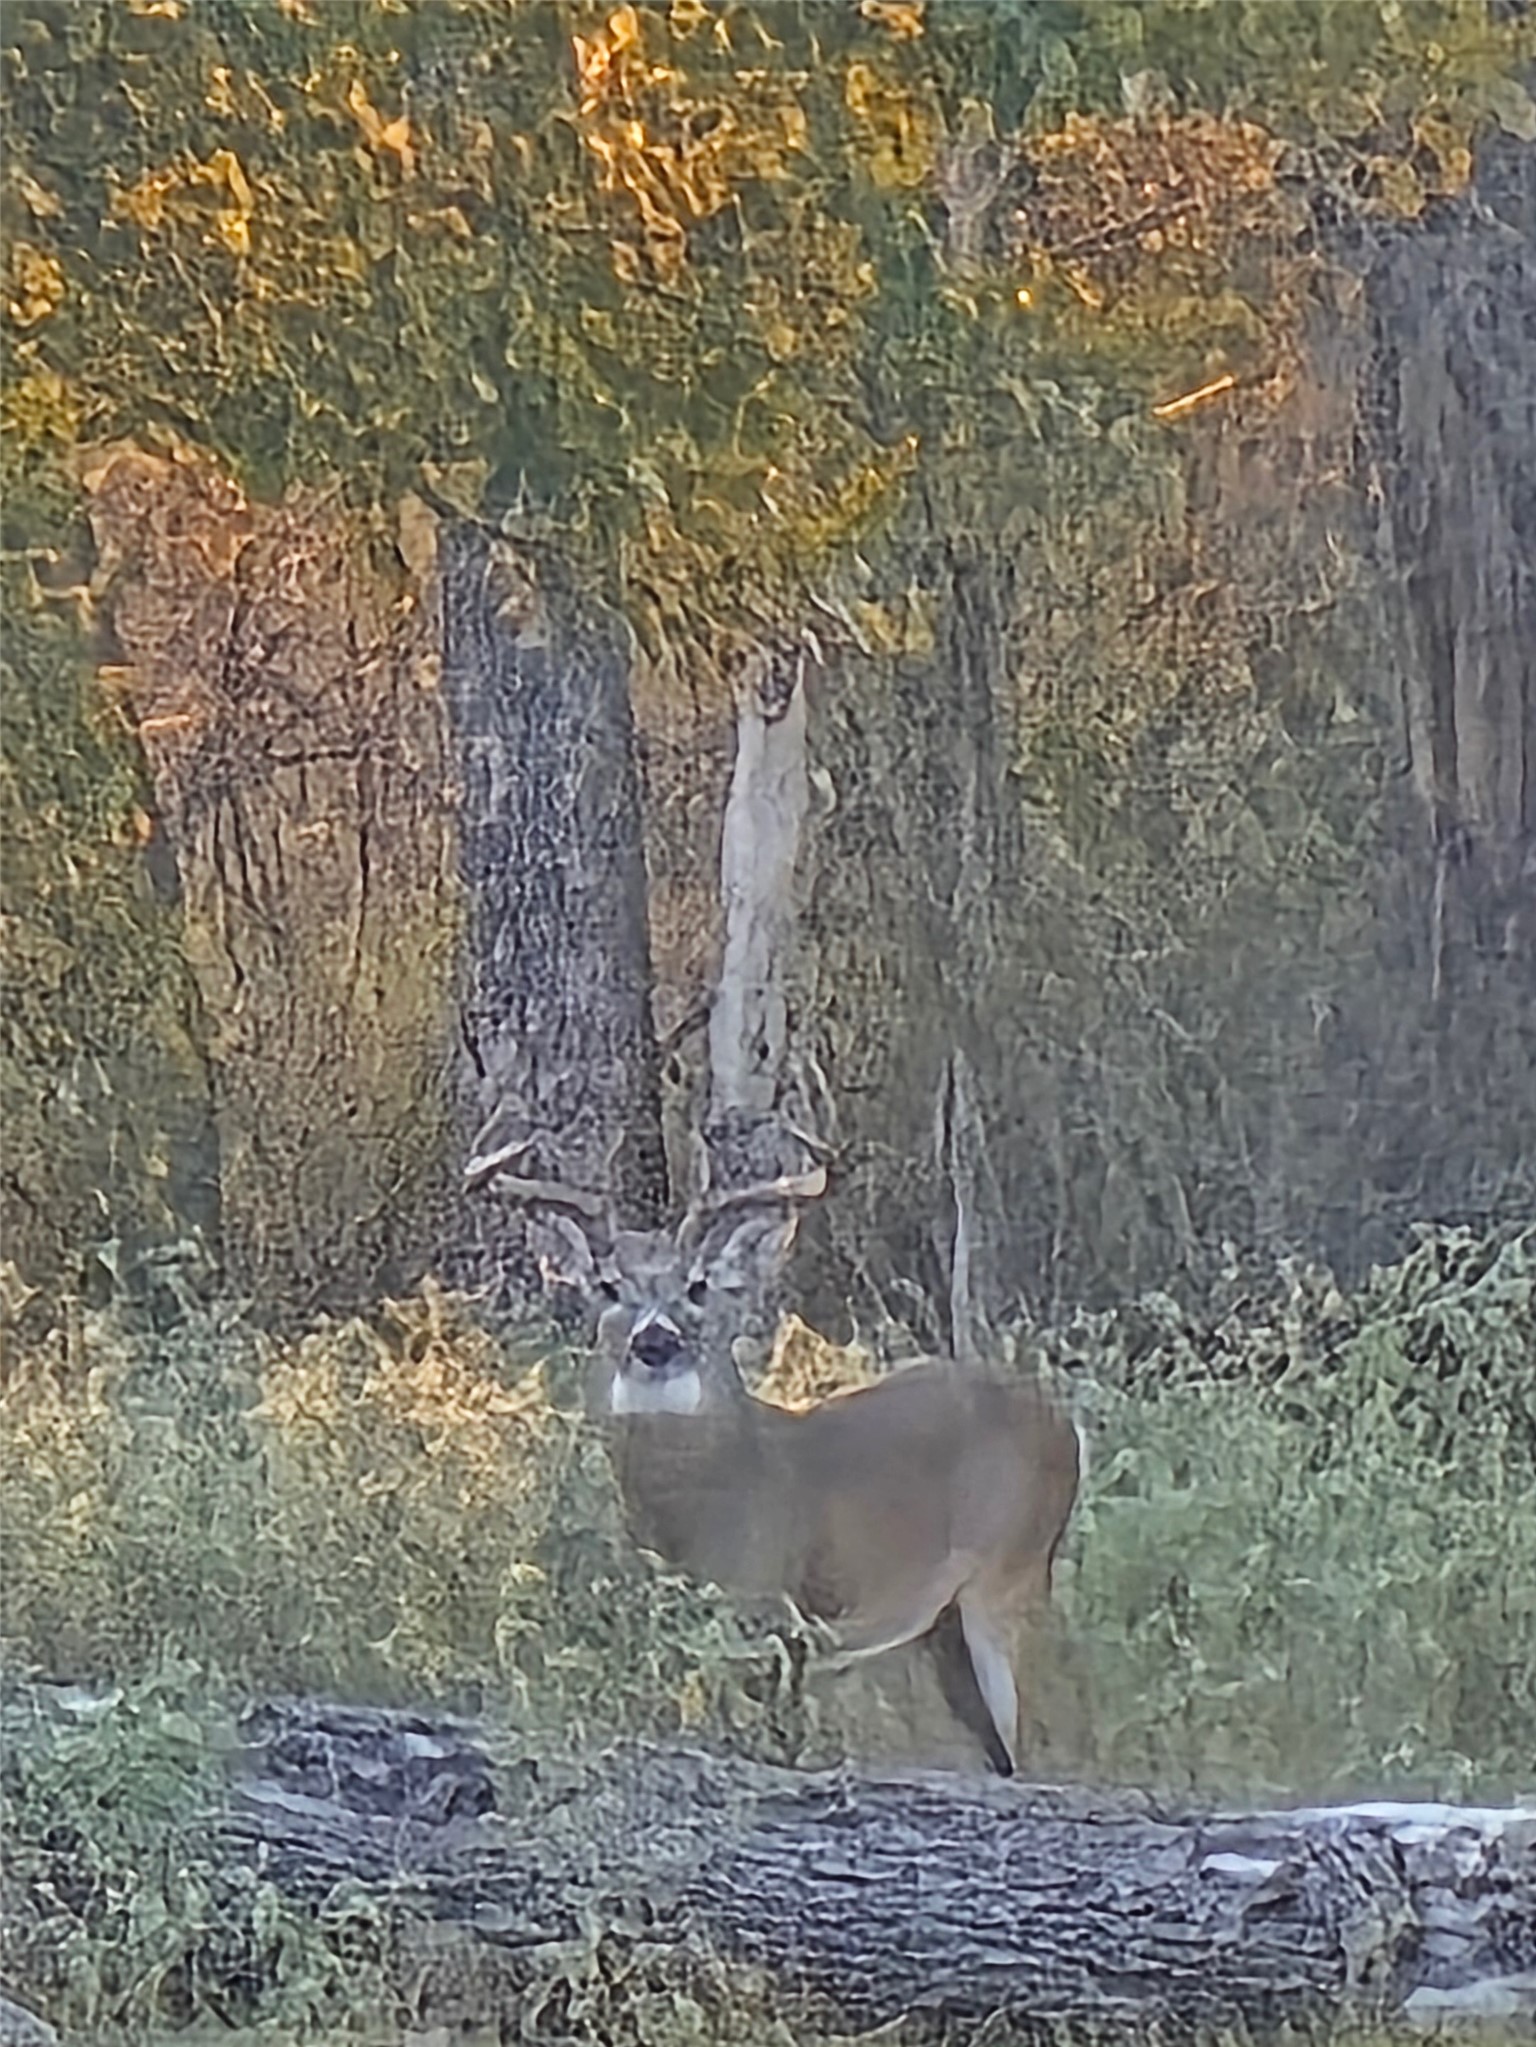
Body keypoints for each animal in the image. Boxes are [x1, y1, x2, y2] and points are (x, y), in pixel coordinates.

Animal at [492, 1149, 1083, 1777]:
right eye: (607, 1286)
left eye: (698, 1286)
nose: (655, 1341)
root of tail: (1065, 1427)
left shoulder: (782, 1616)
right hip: (943, 1626)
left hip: (1011, 1572)